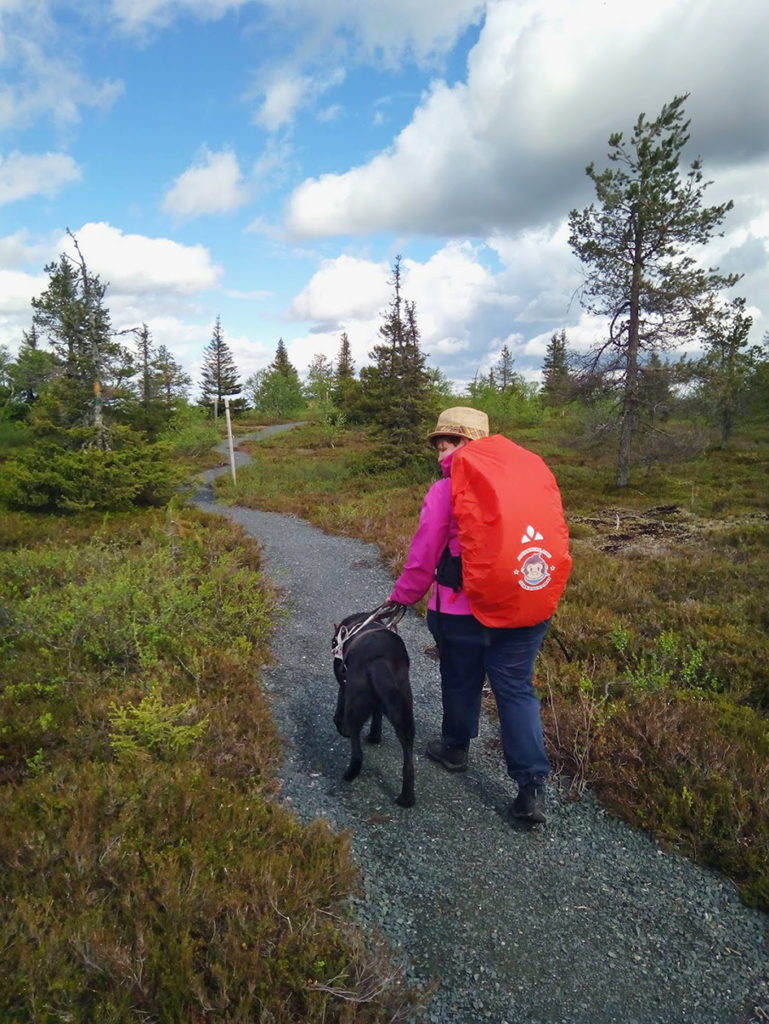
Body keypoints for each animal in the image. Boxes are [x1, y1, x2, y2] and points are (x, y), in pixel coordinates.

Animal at [331, 606, 415, 806]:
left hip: (355, 707)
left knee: (357, 754)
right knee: (408, 765)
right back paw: (406, 799)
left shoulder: (344, 684)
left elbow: (339, 708)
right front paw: (375, 737)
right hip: (404, 714)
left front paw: (339, 725)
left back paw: (348, 775)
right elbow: (377, 718)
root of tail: (380, 662)